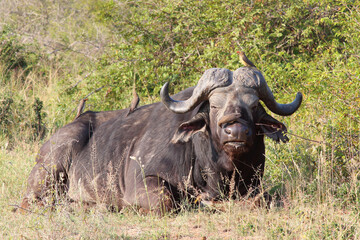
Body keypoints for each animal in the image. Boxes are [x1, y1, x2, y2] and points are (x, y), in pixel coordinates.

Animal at [19, 55, 300, 214]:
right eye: (214, 105)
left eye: (253, 106)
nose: (236, 130)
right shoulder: (144, 182)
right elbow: (166, 203)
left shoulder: (255, 187)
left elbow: (262, 200)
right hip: (51, 167)